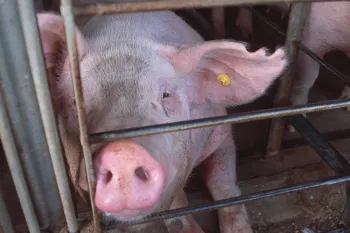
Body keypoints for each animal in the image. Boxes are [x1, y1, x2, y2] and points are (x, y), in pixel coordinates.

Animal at [37, 5, 286, 233]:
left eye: (166, 95)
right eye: (75, 101)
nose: (122, 152)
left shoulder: (222, 135)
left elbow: (223, 183)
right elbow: (175, 204)